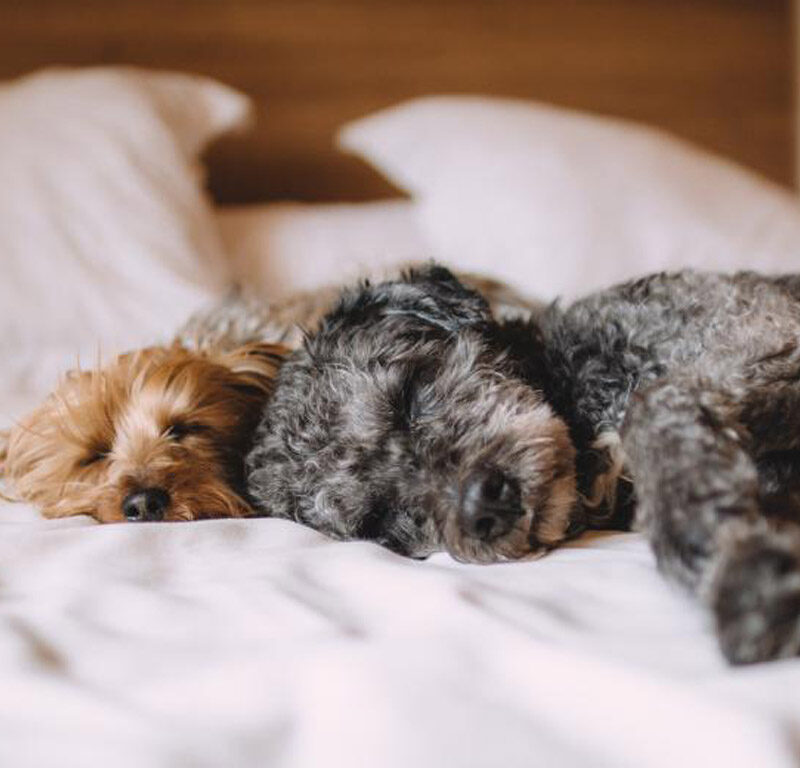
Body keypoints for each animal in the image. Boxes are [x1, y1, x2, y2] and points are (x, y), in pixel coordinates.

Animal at [245, 268, 800, 664]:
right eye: (380, 519)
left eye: (408, 396)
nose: (482, 507)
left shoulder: (770, 338)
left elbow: (652, 406)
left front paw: (727, 557)